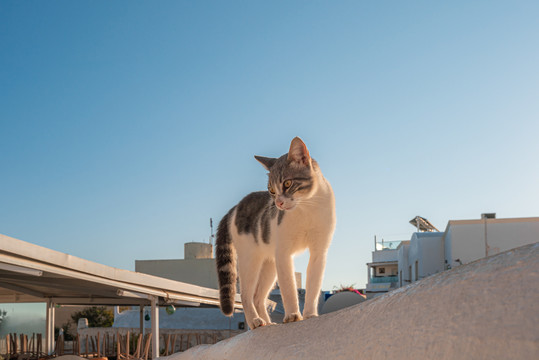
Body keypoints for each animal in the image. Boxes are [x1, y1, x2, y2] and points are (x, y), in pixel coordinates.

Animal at [216, 137, 336, 330]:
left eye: (287, 183)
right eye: (271, 190)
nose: (278, 203)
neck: (306, 207)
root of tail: (234, 208)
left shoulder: (319, 251)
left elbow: (314, 284)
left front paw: (310, 314)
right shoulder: (283, 253)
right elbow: (288, 287)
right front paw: (293, 315)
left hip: (269, 264)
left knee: (258, 296)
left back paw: (268, 323)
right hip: (250, 259)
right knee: (246, 295)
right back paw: (255, 321)